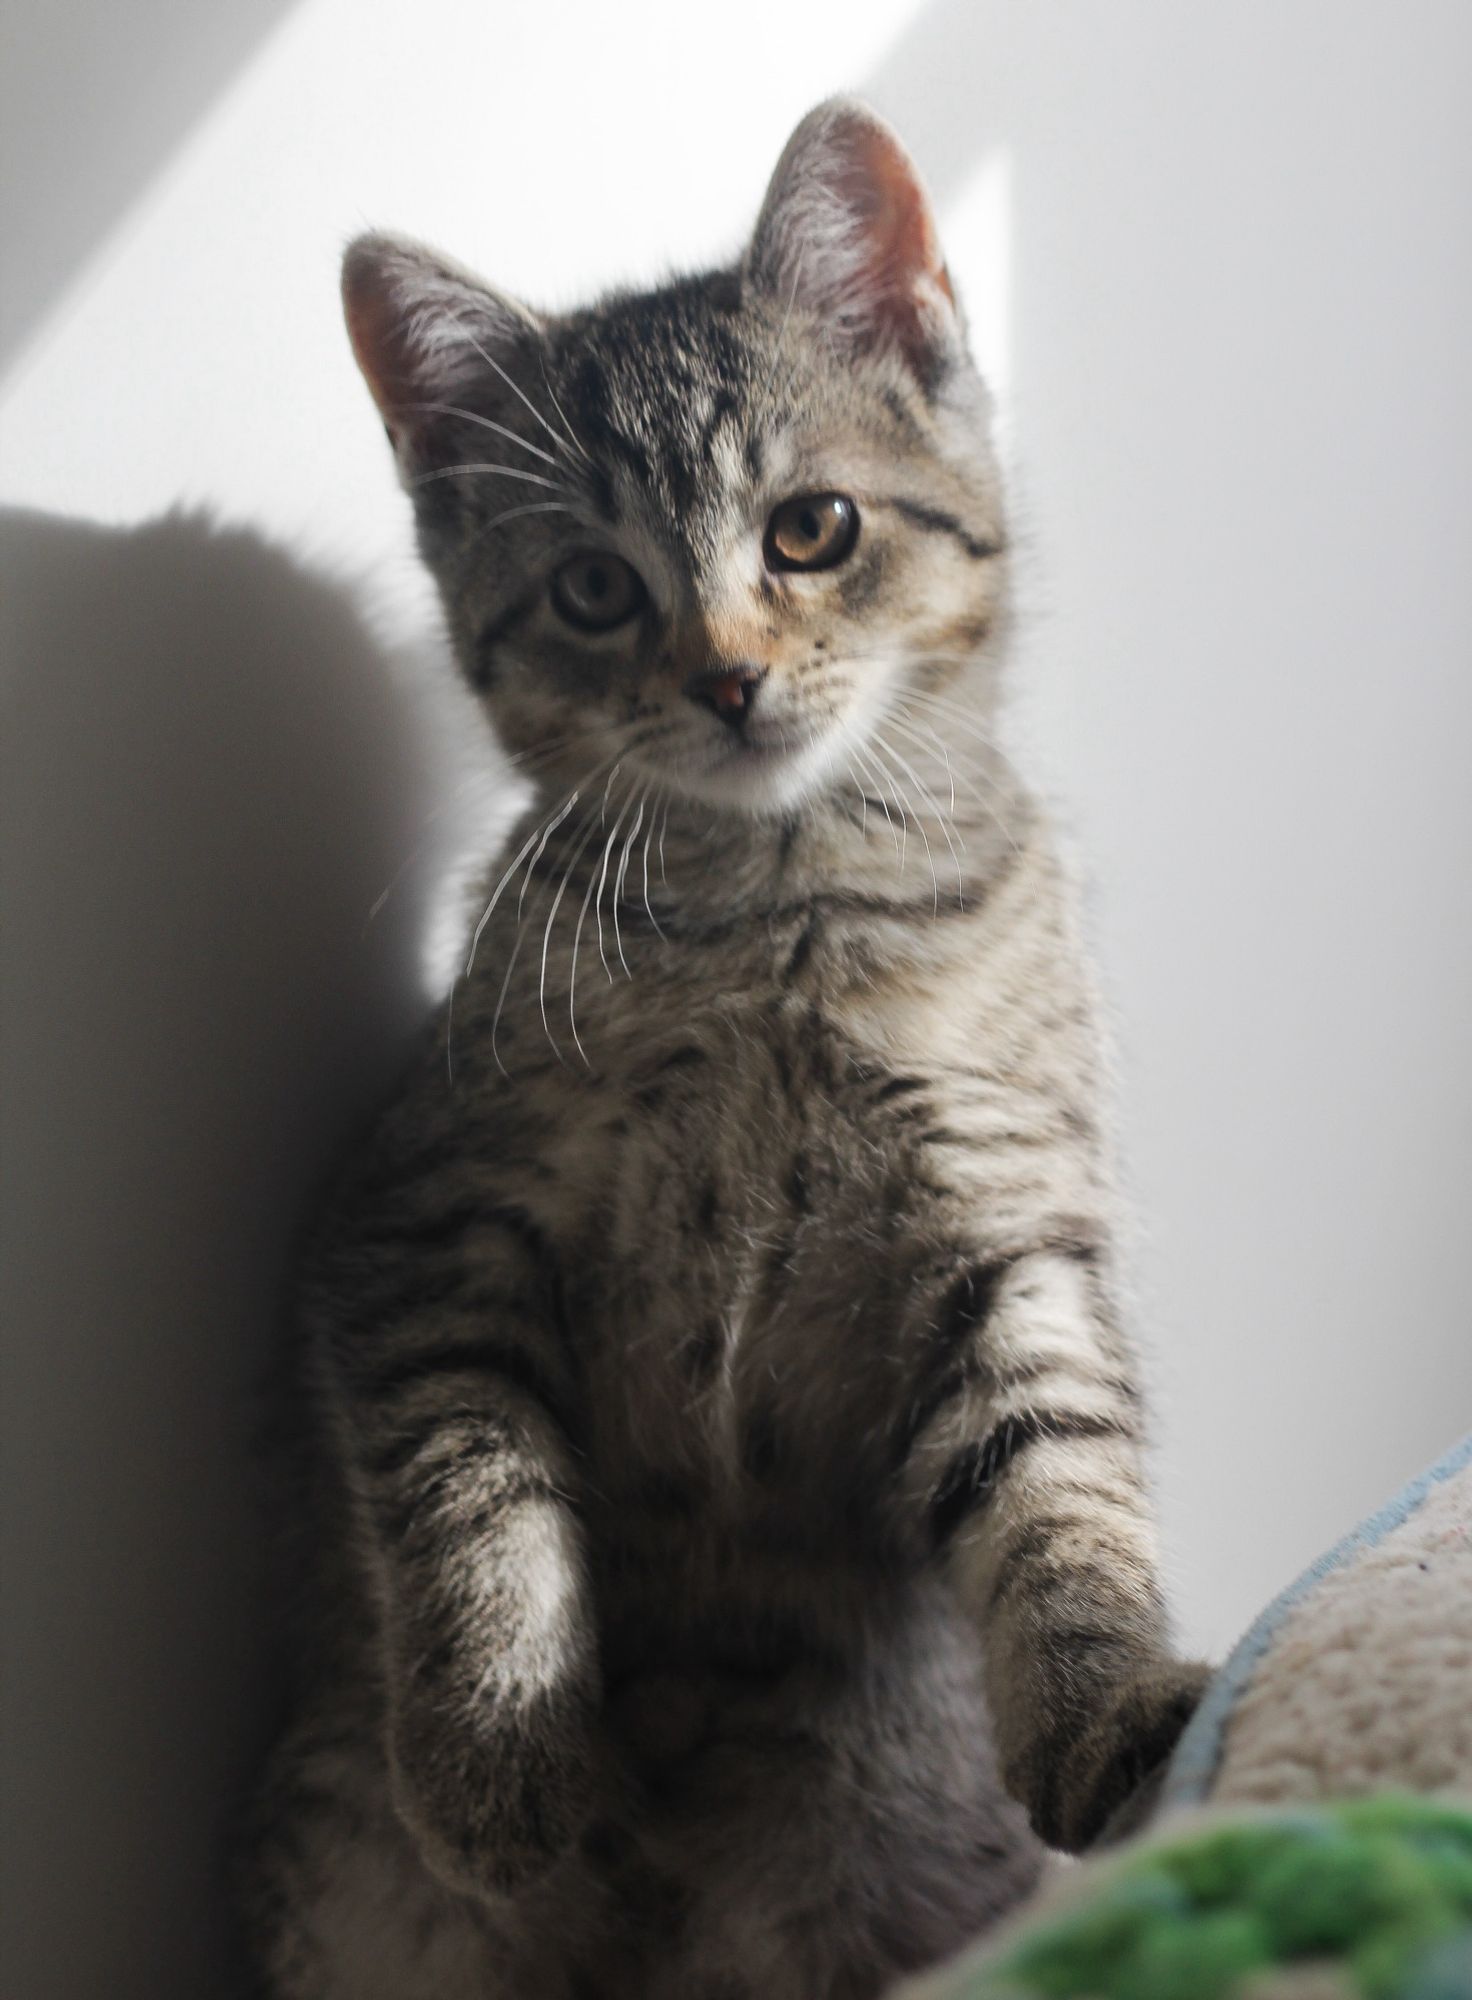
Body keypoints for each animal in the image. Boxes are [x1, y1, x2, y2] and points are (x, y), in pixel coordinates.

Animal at [244, 101, 1208, 2000]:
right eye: (594, 589)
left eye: (812, 528)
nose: (727, 678)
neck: (778, 917)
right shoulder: (416, 1221)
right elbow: (468, 1488)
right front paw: (495, 1752)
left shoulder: (999, 1209)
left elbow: (1057, 1465)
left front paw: (1109, 1699)